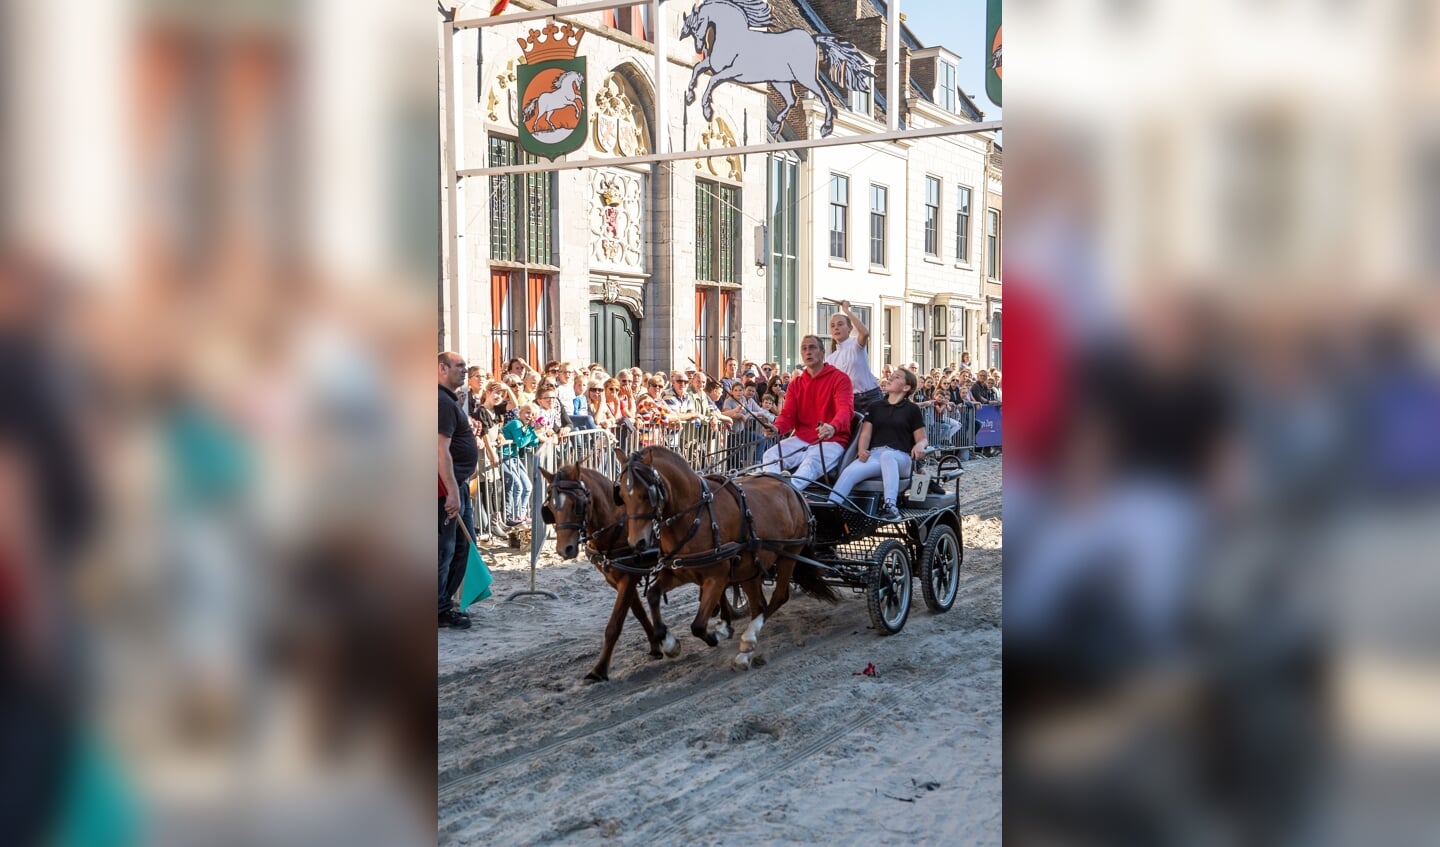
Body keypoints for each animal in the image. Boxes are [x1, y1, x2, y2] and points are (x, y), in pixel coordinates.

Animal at [610, 443, 840, 668]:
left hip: (789, 554)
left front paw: (719, 632)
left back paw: (748, 639)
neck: (695, 516)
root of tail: (792, 488)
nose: (637, 543)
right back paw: (747, 647)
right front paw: (669, 643)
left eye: (647, 494)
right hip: (750, 567)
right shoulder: (678, 572)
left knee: (779, 597)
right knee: (759, 605)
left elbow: (698, 625)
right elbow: (653, 595)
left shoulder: (716, 577)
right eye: (622, 496)